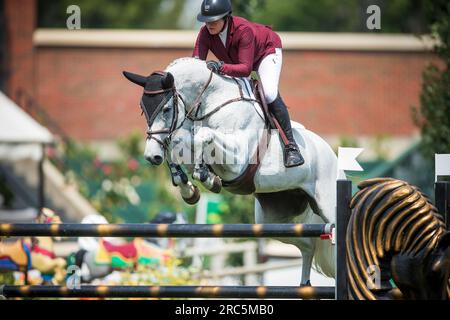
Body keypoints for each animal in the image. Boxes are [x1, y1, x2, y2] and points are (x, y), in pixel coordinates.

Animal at [123, 57, 338, 284]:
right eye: (142, 108)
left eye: (165, 109)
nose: (151, 156)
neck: (211, 102)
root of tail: (331, 153)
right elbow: (178, 141)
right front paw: (189, 189)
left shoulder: (237, 161)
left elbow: (203, 136)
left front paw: (205, 177)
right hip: (274, 219)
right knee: (308, 245)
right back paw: (304, 284)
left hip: (326, 206)